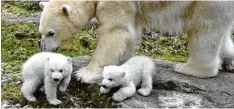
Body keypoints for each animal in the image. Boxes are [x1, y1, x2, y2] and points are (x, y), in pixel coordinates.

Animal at [38, 0, 234, 83]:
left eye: (51, 33)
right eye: (41, 32)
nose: (43, 49)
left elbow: (116, 31)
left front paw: (84, 74)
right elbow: (128, 35)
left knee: (204, 29)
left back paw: (191, 68)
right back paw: (228, 62)